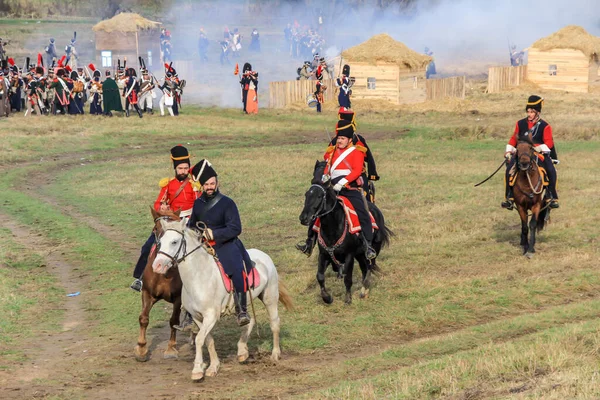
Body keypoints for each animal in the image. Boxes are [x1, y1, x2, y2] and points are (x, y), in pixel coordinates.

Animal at [135, 208, 184, 360]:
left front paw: (171, 348)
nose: (159, 265)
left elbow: (174, 321)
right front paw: (141, 349)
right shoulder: (147, 293)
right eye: (156, 228)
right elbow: (144, 318)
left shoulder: (179, 298)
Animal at [152, 219, 292, 382]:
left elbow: (199, 339)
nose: (157, 266)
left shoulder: (211, 316)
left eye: (174, 242)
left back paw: (275, 354)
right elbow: (208, 340)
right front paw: (213, 366)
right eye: (160, 242)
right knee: (249, 321)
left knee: (274, 323)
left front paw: (197, 370)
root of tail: (263, 254)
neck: (198, 276)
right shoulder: (198, 317)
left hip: (270, 297)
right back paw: (242, 351)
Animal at [298, 161, 392, 304]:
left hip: (372, 250)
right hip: (360, 255)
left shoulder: (349, 256)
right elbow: (320, 276)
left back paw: (364, 290)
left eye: (319, 196)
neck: (333, 228)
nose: (303, 218)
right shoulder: (324, 255)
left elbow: (348, 278)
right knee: (365, 268)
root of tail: (376, 210)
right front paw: (327, 298)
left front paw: (348, 298)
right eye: (307, 195)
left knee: (369, 267)